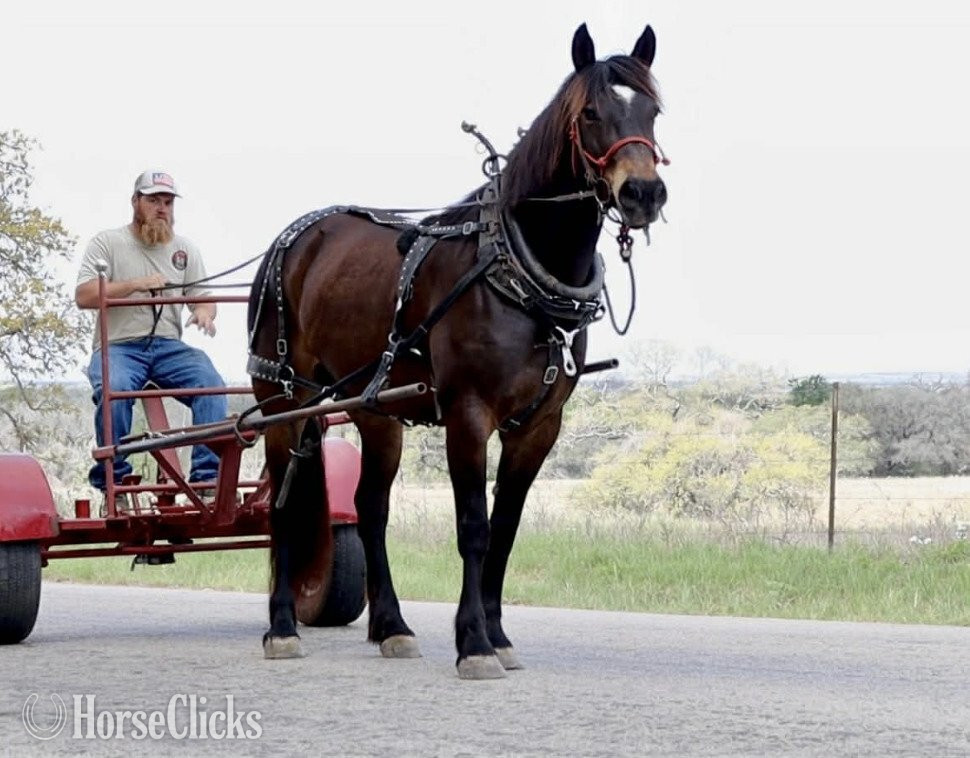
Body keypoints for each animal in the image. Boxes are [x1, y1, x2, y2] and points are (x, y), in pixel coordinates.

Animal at [247, 21, 668, 679]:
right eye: (591, 112)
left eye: (653, 111)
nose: (644, 193)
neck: (514, 271)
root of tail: (297, 235)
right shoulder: (469, 414)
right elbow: (473, 526)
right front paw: (473, 643)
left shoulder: (539, 426)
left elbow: (506, 528)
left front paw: (497, 634)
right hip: (282, 399)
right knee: (285, 510)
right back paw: (283, 628)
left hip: (373, 410)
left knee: (370, 508)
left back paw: (392, 626)